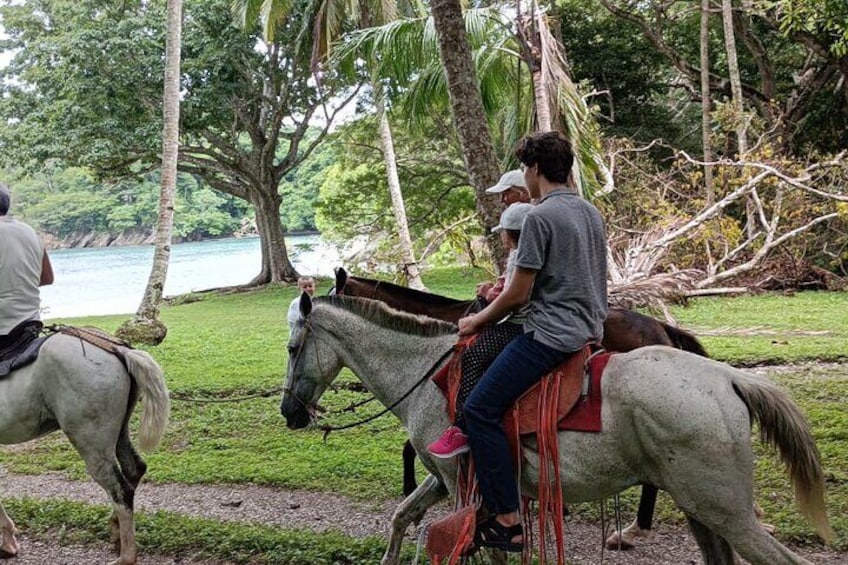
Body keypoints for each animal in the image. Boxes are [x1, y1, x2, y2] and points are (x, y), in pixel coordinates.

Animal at [0, 332, 172, 560]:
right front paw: (7, 541)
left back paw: (126, 557)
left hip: (93, 449)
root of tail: (118, 350)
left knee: (121, 492)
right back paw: (116, 532)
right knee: (135, 469)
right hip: (120, 434)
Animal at [284, 296, 836, 564]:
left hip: (726, 511)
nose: (291, 412)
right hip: (702, 509)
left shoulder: (465, 484)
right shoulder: (444, 479)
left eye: (292, 348)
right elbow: (402, 517)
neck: (427, 372)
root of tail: (728, 377)